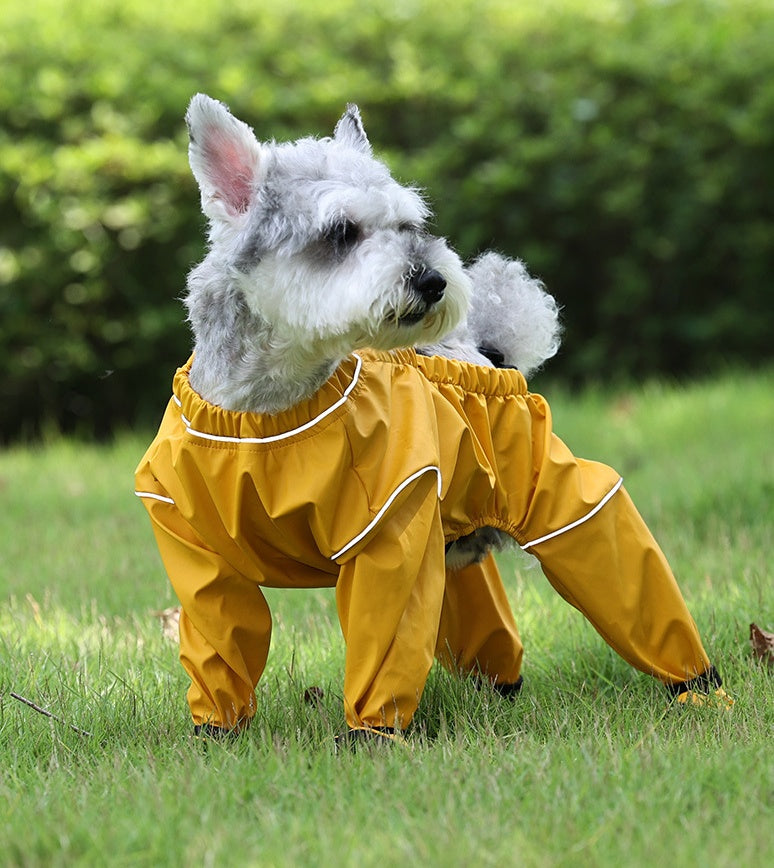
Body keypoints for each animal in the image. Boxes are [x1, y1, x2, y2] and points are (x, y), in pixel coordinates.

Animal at [138, 96, 728, 744]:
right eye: (341, 231)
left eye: (409, 226)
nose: (433, 280)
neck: (266, 411)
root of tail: (488, 351)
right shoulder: (198, 558)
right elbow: (221, 633)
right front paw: (216, 733)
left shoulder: (386, 534)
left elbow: (384, 631)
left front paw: (369, 736)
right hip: (448, 535)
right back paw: (500, 688)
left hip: (556, 499)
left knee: (607, 543)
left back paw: (697, 686)